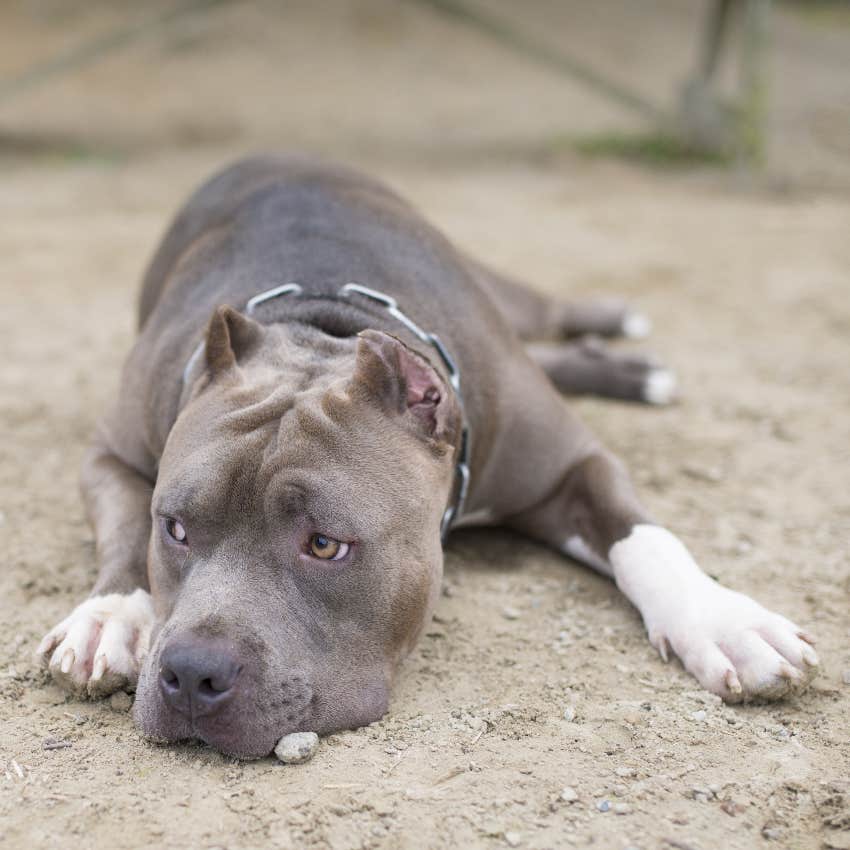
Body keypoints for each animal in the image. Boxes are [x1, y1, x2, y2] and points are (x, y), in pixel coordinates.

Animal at [36, 157, 820, 756]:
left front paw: (725, 622)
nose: (192, 675)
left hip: (498, 290)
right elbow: (120, 530)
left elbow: (645, 538)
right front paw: (109, 617)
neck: (323, 326)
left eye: (325, 544)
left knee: (548, 315)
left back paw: (620, 333)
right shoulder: (110, 452)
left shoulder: (572, 464)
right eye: (174, 529)